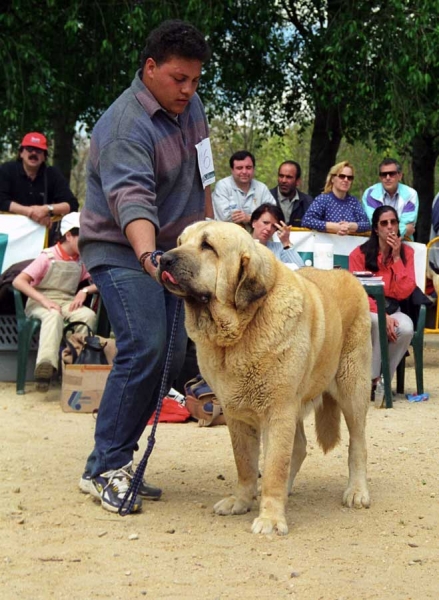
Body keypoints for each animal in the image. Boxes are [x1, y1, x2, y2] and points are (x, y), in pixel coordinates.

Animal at [158, 223, 372, 536]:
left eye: (207, 246)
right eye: (180, 241)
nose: (162, 259)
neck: (240, 331)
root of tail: (345, 274)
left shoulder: (278, 411)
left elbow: (273, 467)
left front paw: (271, 517)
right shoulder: (237, 415)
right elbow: (246, 463)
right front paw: (242, 500)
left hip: (352, 388)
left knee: (357, 444)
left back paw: (356, 491)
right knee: (299, 447)